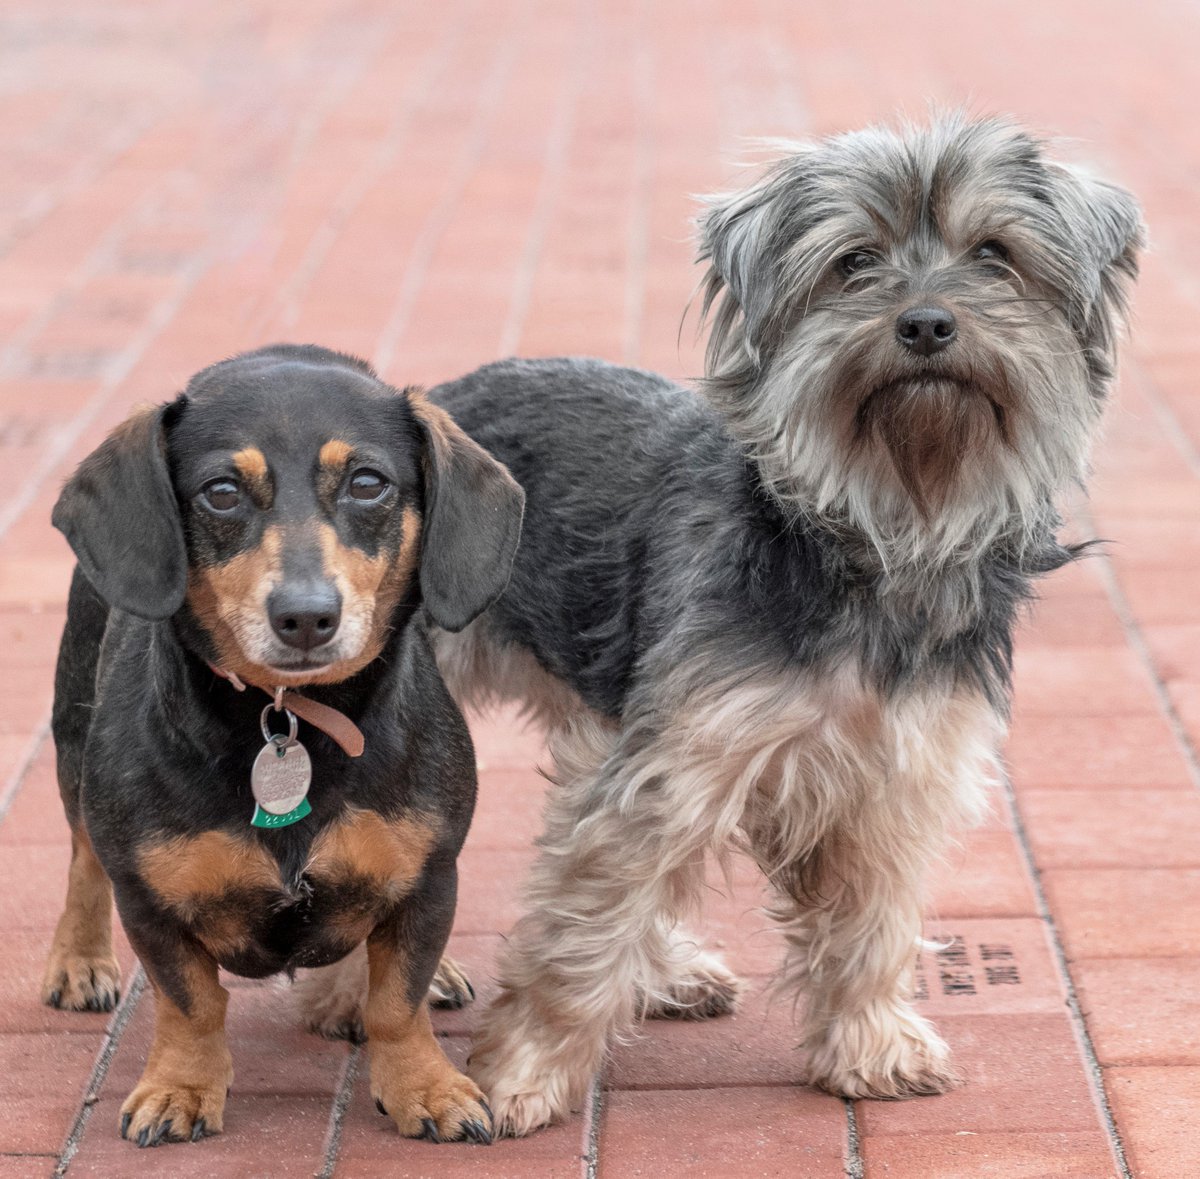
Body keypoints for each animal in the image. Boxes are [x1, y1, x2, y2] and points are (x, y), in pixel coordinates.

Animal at [300, 117, 1142, 1133]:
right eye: (854, 263)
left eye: (995, 255)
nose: (927, 323)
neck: (880, 531)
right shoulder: (683, 758)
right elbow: (586, 927)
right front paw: (519, 1074)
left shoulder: (896, 778)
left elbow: (872, 926)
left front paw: (870, 1045)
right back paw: (355, 995)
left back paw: (668, 974)